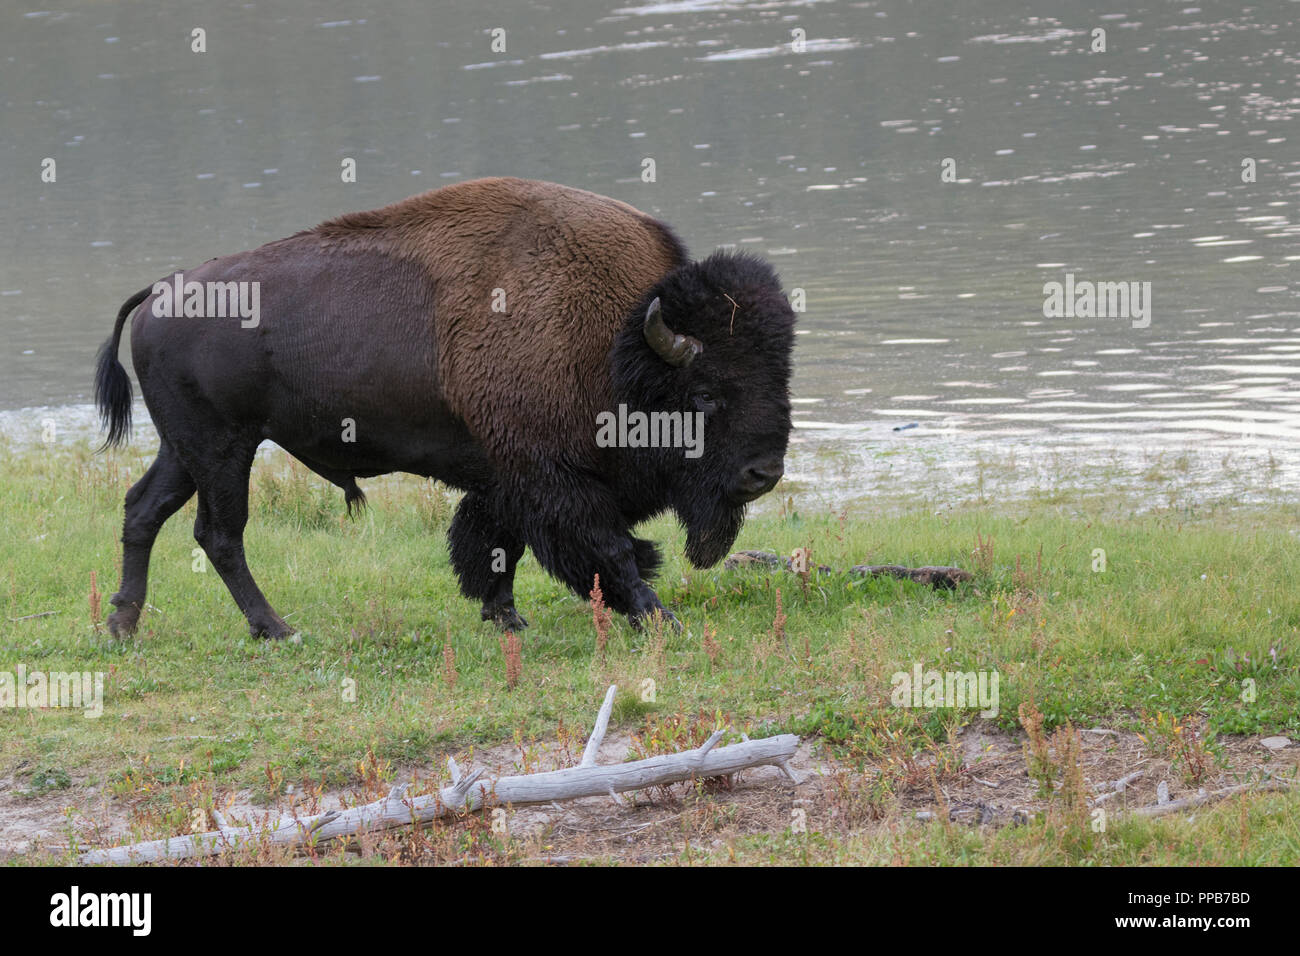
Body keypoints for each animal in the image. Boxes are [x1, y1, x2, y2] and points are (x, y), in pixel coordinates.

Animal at [94, 178, 790, 642]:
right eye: (706, 394)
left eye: (780, 375)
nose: (764, 473)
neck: (617, 345)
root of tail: (158, 293)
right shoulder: (552, 478)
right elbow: (607, 548)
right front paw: (659, 616)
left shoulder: (505, 477)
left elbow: (496, 545)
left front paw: (506, 616)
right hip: (222, 448)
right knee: (220, 533)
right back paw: (276, 628)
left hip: (185, 448)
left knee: (143, 509)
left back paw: (124, 625)